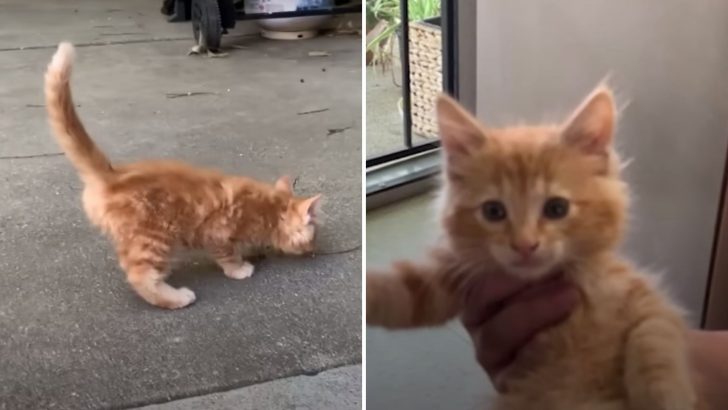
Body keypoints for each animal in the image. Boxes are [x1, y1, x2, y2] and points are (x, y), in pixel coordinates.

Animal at [44, 43, 320, 310]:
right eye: (314, 234)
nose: (314, 249)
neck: (266, 208)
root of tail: (113, 175)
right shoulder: (217, 232)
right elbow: (227, 254)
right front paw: (239, 268)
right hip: (153, 240)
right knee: (141, 276)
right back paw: (176, 298)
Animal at [366, 85, 704, 408]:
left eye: (557, 208)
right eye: (493, 211)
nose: (525, 245)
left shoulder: (643, 295)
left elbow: (655, 337)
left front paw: (666, 397)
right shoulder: (455, 274)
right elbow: (400, 292)